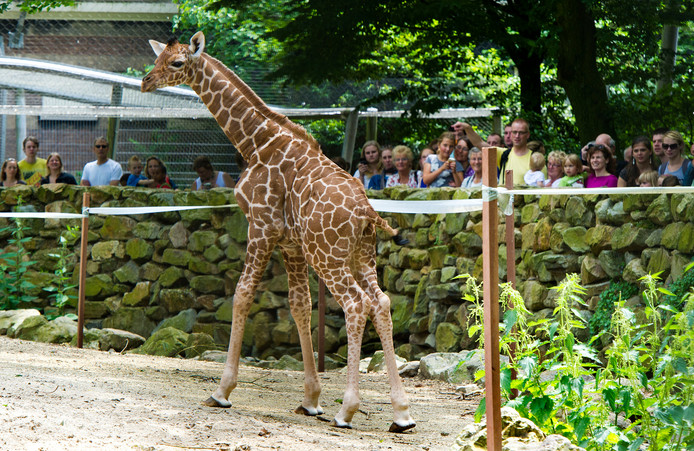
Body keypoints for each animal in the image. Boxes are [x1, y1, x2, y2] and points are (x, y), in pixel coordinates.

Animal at [141, 32, 414, 434]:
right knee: (380, 303)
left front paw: (222, 391)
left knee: (355, 304)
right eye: (159, 58)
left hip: (328, 256)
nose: (146, 81)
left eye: (177, 63)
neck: (256, 142)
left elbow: (242, 296)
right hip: (360, 256)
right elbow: (299, 306)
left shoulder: (261, 226)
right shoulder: (291, 244)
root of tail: (368, 212)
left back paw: (347, 411)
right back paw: (402, 414)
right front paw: (310, 400)